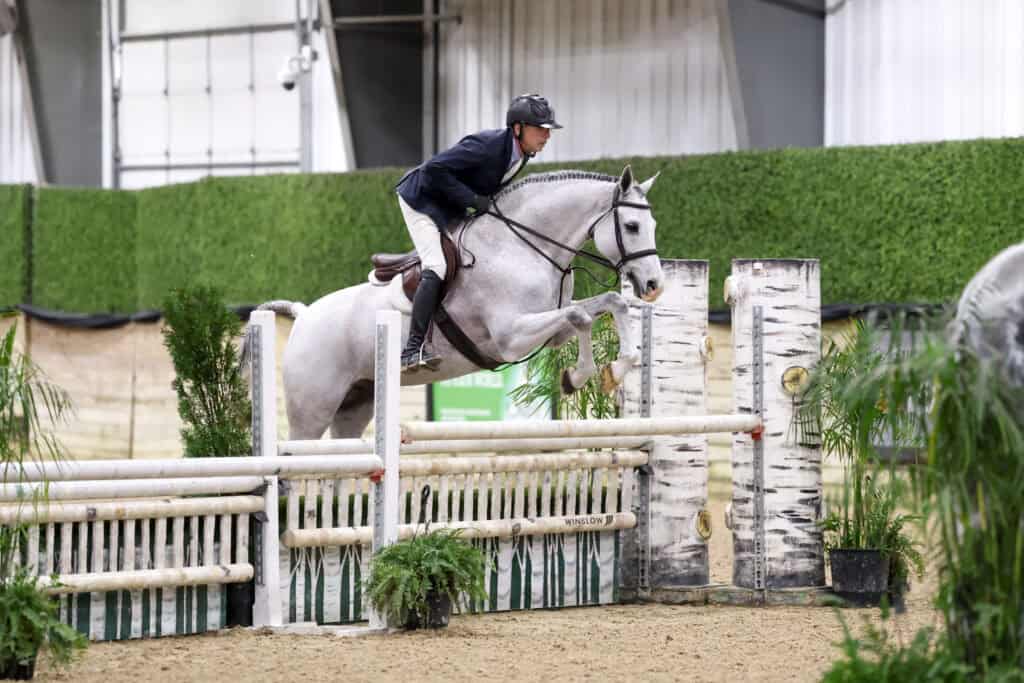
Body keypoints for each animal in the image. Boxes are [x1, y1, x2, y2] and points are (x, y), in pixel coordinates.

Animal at [246, 165, 664, 441]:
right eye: (631, 227)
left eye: (653, 226)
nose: (653, 285)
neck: (523, 246)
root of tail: (303, 315)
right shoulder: (511, 338)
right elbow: (580, 315)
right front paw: (575, 378)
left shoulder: (551, 330)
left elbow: (609, 303)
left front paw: (615, 369)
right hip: (312, 410)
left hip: (355, 404)